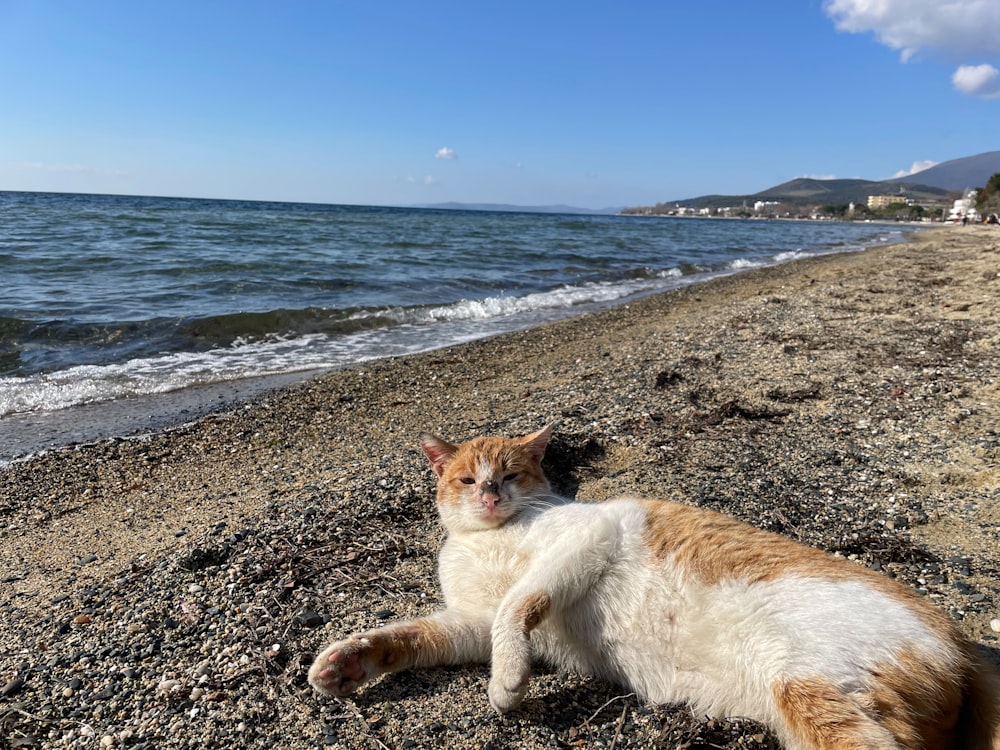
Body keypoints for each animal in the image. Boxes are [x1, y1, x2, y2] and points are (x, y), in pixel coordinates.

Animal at [306, 426, 1000, 748]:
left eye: (511, 473)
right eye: (466, 478)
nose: (490, 494)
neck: (486, 543)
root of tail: (962, 645)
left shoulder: (586, 538)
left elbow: (518, 605)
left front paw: (508, 682)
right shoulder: (466, 623)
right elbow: (414, 635)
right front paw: (347, 663)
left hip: (811, 686)